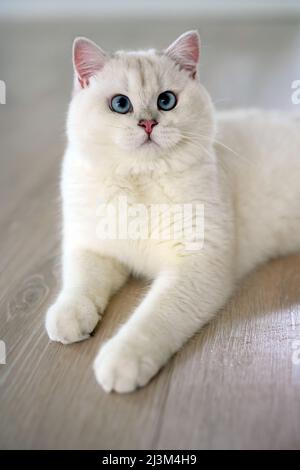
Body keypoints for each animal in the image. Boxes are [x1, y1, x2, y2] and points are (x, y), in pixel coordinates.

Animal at [45, 31, 300, 392]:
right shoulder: (91, 247)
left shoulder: (195, 266)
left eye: (166, 101)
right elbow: (80, 283)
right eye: (120, 104)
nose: (148, 123)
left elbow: (153, 317)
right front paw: (68, 318)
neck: (140, 178)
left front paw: (121, 362)